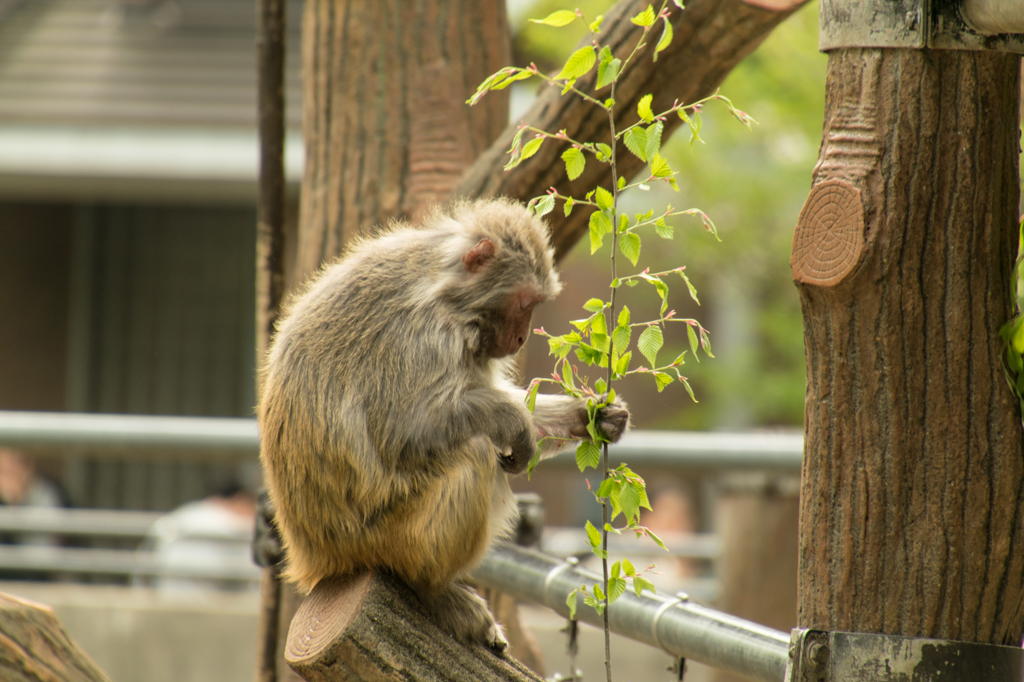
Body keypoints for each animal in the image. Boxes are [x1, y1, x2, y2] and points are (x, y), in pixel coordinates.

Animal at [258, 197, 622, 647]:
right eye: (524, 303)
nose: (522, 339)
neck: (444, 285)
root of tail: (316, 557)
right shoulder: (426, 334)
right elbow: (402, 432)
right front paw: (514, 422)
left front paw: (588, 416)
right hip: (385, 535)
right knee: (474, 455)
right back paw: (432, 588)